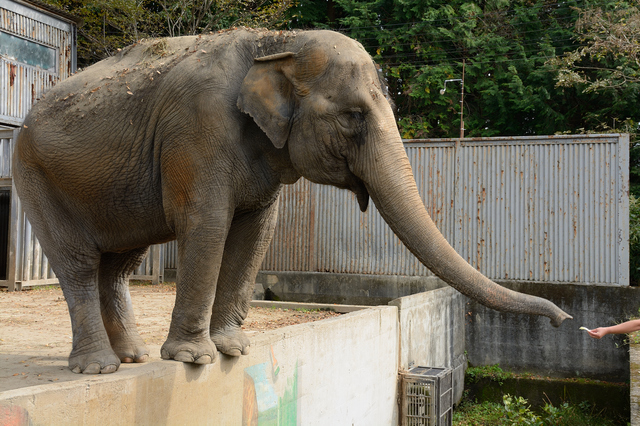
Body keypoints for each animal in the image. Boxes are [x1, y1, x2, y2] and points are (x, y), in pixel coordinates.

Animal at [11, 26, 568, 374]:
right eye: (352, 116)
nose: (565, 321)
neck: (277, 42)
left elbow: (257, 229)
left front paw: (233, 349)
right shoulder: (196, 132)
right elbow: (207, 224)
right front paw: (194, 359)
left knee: (120, 265)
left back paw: (134, 359)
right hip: (33, 174)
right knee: (79, 264)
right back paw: (99, 367)